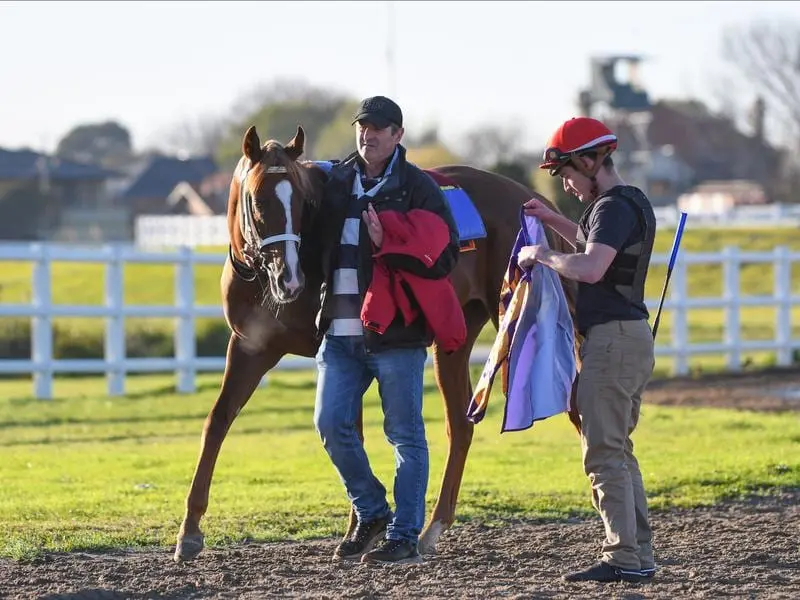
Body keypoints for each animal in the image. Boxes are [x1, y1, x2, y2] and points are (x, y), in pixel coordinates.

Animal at [173, 124, 576, 560]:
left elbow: (353, 432)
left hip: (517, 320)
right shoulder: (251, 347)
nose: (290, 280)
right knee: (460, 426)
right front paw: (189, 531)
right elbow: (218, 421)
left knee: (574, 399)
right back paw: (432, 529)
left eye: (301, 202)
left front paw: (362, 527)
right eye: (258, 199)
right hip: (455, 339)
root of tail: (531, 200)